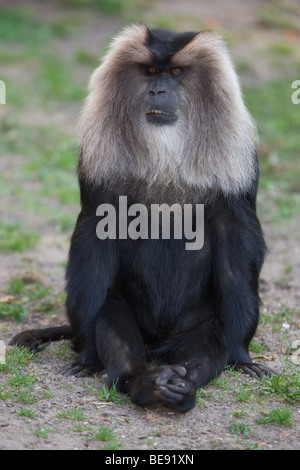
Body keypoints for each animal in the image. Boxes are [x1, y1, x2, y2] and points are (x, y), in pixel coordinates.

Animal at [11, 24, 274, 412]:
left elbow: (236, 255)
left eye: (176, 72)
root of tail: (156, 348)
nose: (158, 90)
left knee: (208, 344)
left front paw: (242, 356)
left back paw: (180, 385)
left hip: (197, 326)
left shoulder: (241, 168)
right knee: (110, 317)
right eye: (150, 72)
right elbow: (93, 243)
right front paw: (87, 358)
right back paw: (145, 382)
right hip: (124, 320)